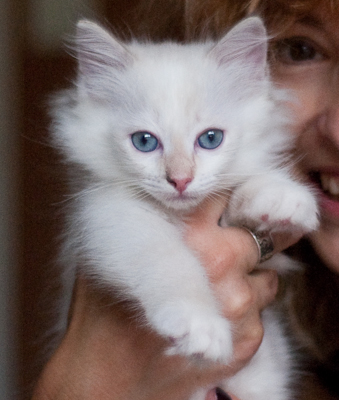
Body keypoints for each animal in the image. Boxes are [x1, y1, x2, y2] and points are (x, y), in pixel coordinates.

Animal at [51, 17, 318, 398]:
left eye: (210, 139)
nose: (180, 180)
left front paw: (280, 195)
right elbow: (169, 261)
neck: (182, 214)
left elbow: (240, 190)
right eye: (144, 142)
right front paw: (200, 325)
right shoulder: (108, 216)